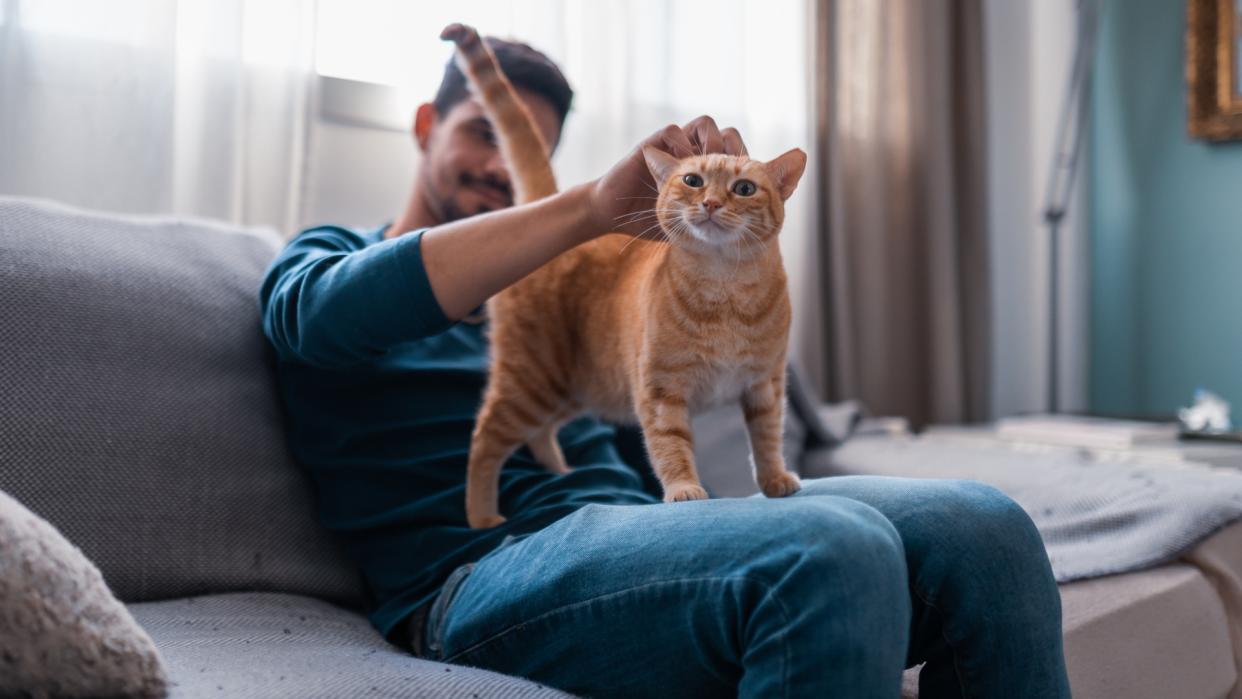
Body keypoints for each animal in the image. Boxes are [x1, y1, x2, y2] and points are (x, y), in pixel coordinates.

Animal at [442, 21, 809, 528]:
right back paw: (482, 516)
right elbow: (670, 446)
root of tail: (543, 198)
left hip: (573, 389)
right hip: (532, 379)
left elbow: (768, 439)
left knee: (539, 433)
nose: (711, 204)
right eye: (692, 180)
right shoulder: (660, 392)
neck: (726, 291)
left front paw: (775, 480)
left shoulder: (765, 386)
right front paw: (684, 490)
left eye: (744, 188)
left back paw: (560, 470)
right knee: (484, 438)